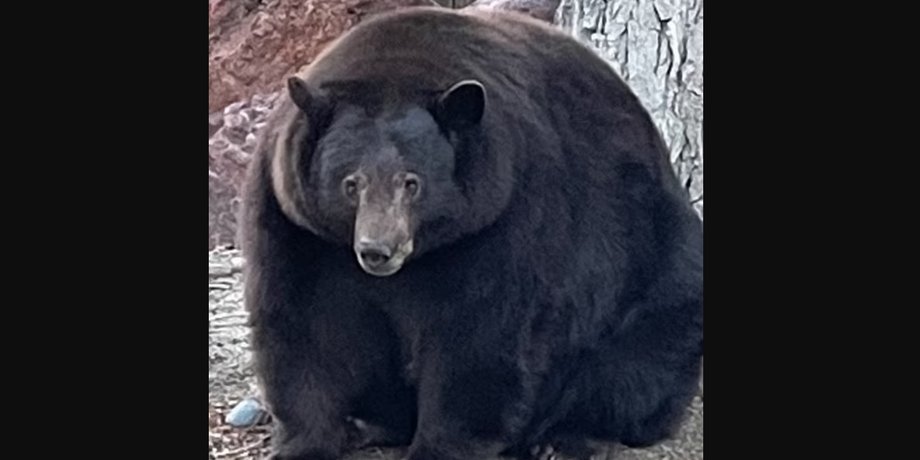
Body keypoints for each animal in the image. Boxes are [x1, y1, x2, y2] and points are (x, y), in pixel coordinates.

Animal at [239, 6, 703, 460]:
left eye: (412, 182)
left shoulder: (505, 213)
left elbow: (480, 333)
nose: (377, 250)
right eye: (351, 183)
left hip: (651, 267)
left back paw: (564, 438)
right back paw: (367, 424)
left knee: (635, 365)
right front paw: (308, 441)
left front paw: (439, 447)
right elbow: (306, 323)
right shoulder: (296, 224)